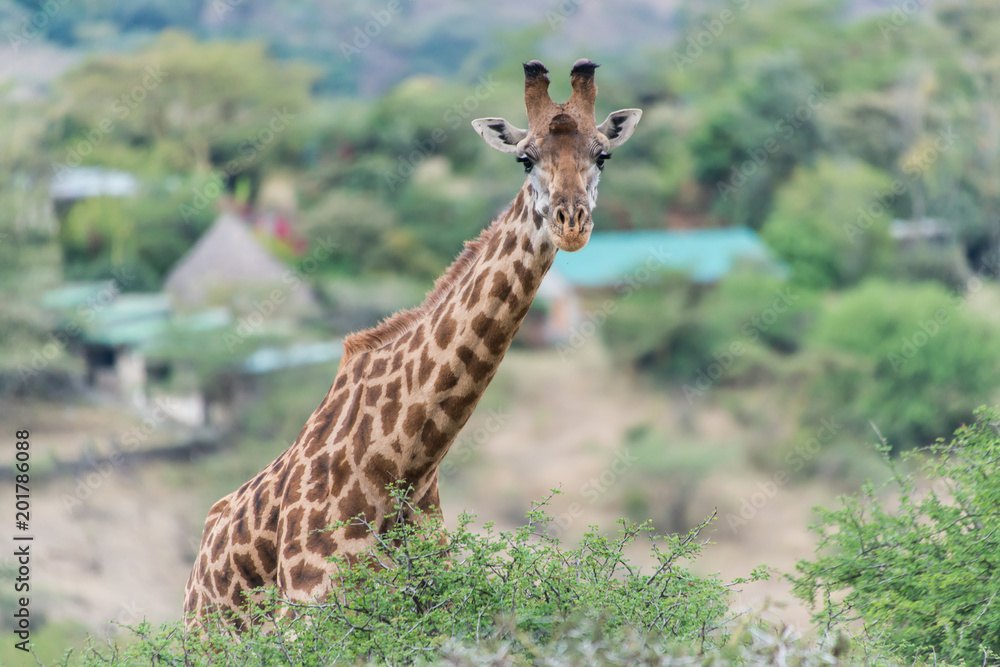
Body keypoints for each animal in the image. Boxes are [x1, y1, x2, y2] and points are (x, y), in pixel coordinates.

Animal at [182, 58, 641, 630]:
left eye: (602, 154)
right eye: (524, 158)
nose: (571, 223)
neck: (406, 462)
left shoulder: (432, 613)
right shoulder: (312, 611)